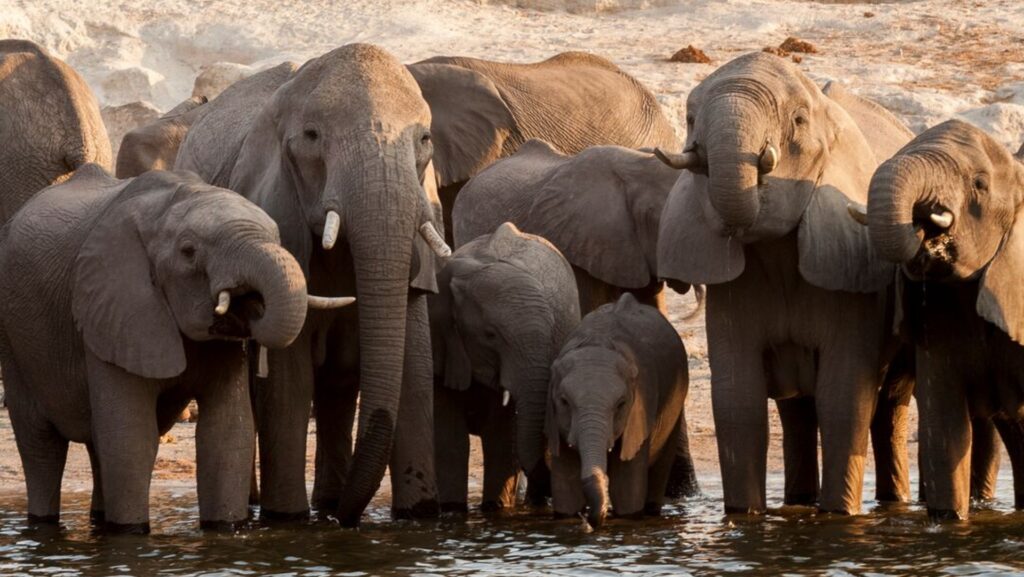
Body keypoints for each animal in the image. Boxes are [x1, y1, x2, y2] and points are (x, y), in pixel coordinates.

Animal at [0, 166, 353, 533]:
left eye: (277, 237)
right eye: (188, 251)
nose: (249, 301)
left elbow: (226, 433)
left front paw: (224, 530)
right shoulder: (114, 309)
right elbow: (131, 439)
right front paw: (130, 535)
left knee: (94, 442)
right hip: (14, 336)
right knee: (40, 442)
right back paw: (43, 523)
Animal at [176, 44, 450, 526]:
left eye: (424, 140)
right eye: (311, 136)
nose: (348, 520)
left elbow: (414, 373)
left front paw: (417, 516)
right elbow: (289, 381)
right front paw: (287, 520)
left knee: (337, 387)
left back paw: (329, 502)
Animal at [430, 222, 580, 512]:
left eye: (551, 334)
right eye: (490, 335)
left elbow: (501, 439)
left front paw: (496, 510)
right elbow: (450, 441)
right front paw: (454, 511)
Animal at [546, 293, 692, 529]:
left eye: (621, 404)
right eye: (564, 402)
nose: (589, 520)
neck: (598, 340)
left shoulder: (641, 407)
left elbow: (627, 491)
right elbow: (566, 491)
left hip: (676, 401)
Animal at [654, 51, 918, 515]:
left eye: (797, 120)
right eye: (689, 119)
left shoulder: (849, 273)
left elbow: (843, 397)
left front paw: (839, 516)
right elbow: (738, 400)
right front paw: (744, 517)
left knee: (889, 403)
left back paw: (891, 504)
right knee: (797, 408)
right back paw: (798, 502)